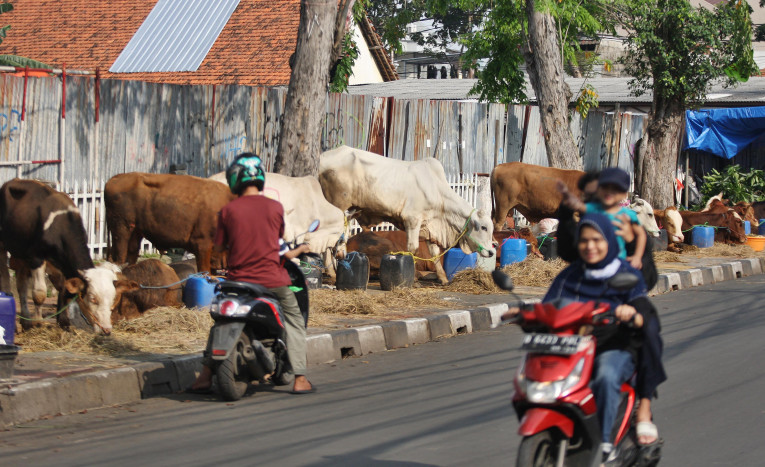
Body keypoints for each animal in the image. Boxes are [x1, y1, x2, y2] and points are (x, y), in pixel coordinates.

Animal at [104, 173, 234, 274]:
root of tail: (112, 179)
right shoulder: (202, 245)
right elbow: (205, 271)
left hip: (135, 233)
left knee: (131, 255)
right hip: (121, 232)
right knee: (119, 258)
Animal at [316, 146, 496, 286]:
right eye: (483, 227)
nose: (491, 251)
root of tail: (322, 158)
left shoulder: (429, 226)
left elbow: (435, 253)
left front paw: (444, 279)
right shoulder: (412, 220)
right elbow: (412, 249)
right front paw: (413, 277)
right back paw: (332, 273)